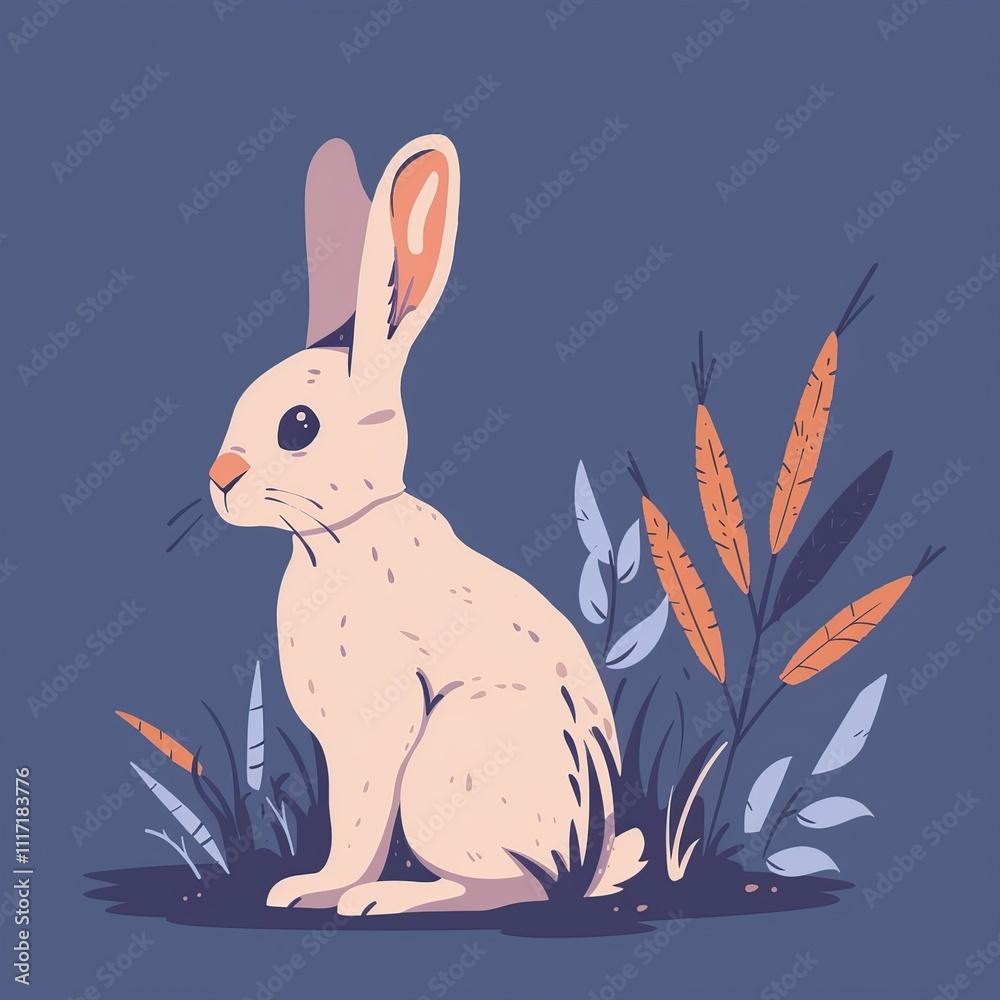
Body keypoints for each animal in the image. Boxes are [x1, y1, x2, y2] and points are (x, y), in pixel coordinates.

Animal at [207, 134, 645, 914]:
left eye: (298, 426)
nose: (219, 478)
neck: (340, 535)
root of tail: (590, 862)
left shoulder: (376, 729)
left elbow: (356, 826)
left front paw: (313, 889)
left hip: (447, 769)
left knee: (512, 889)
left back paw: (383, 901)